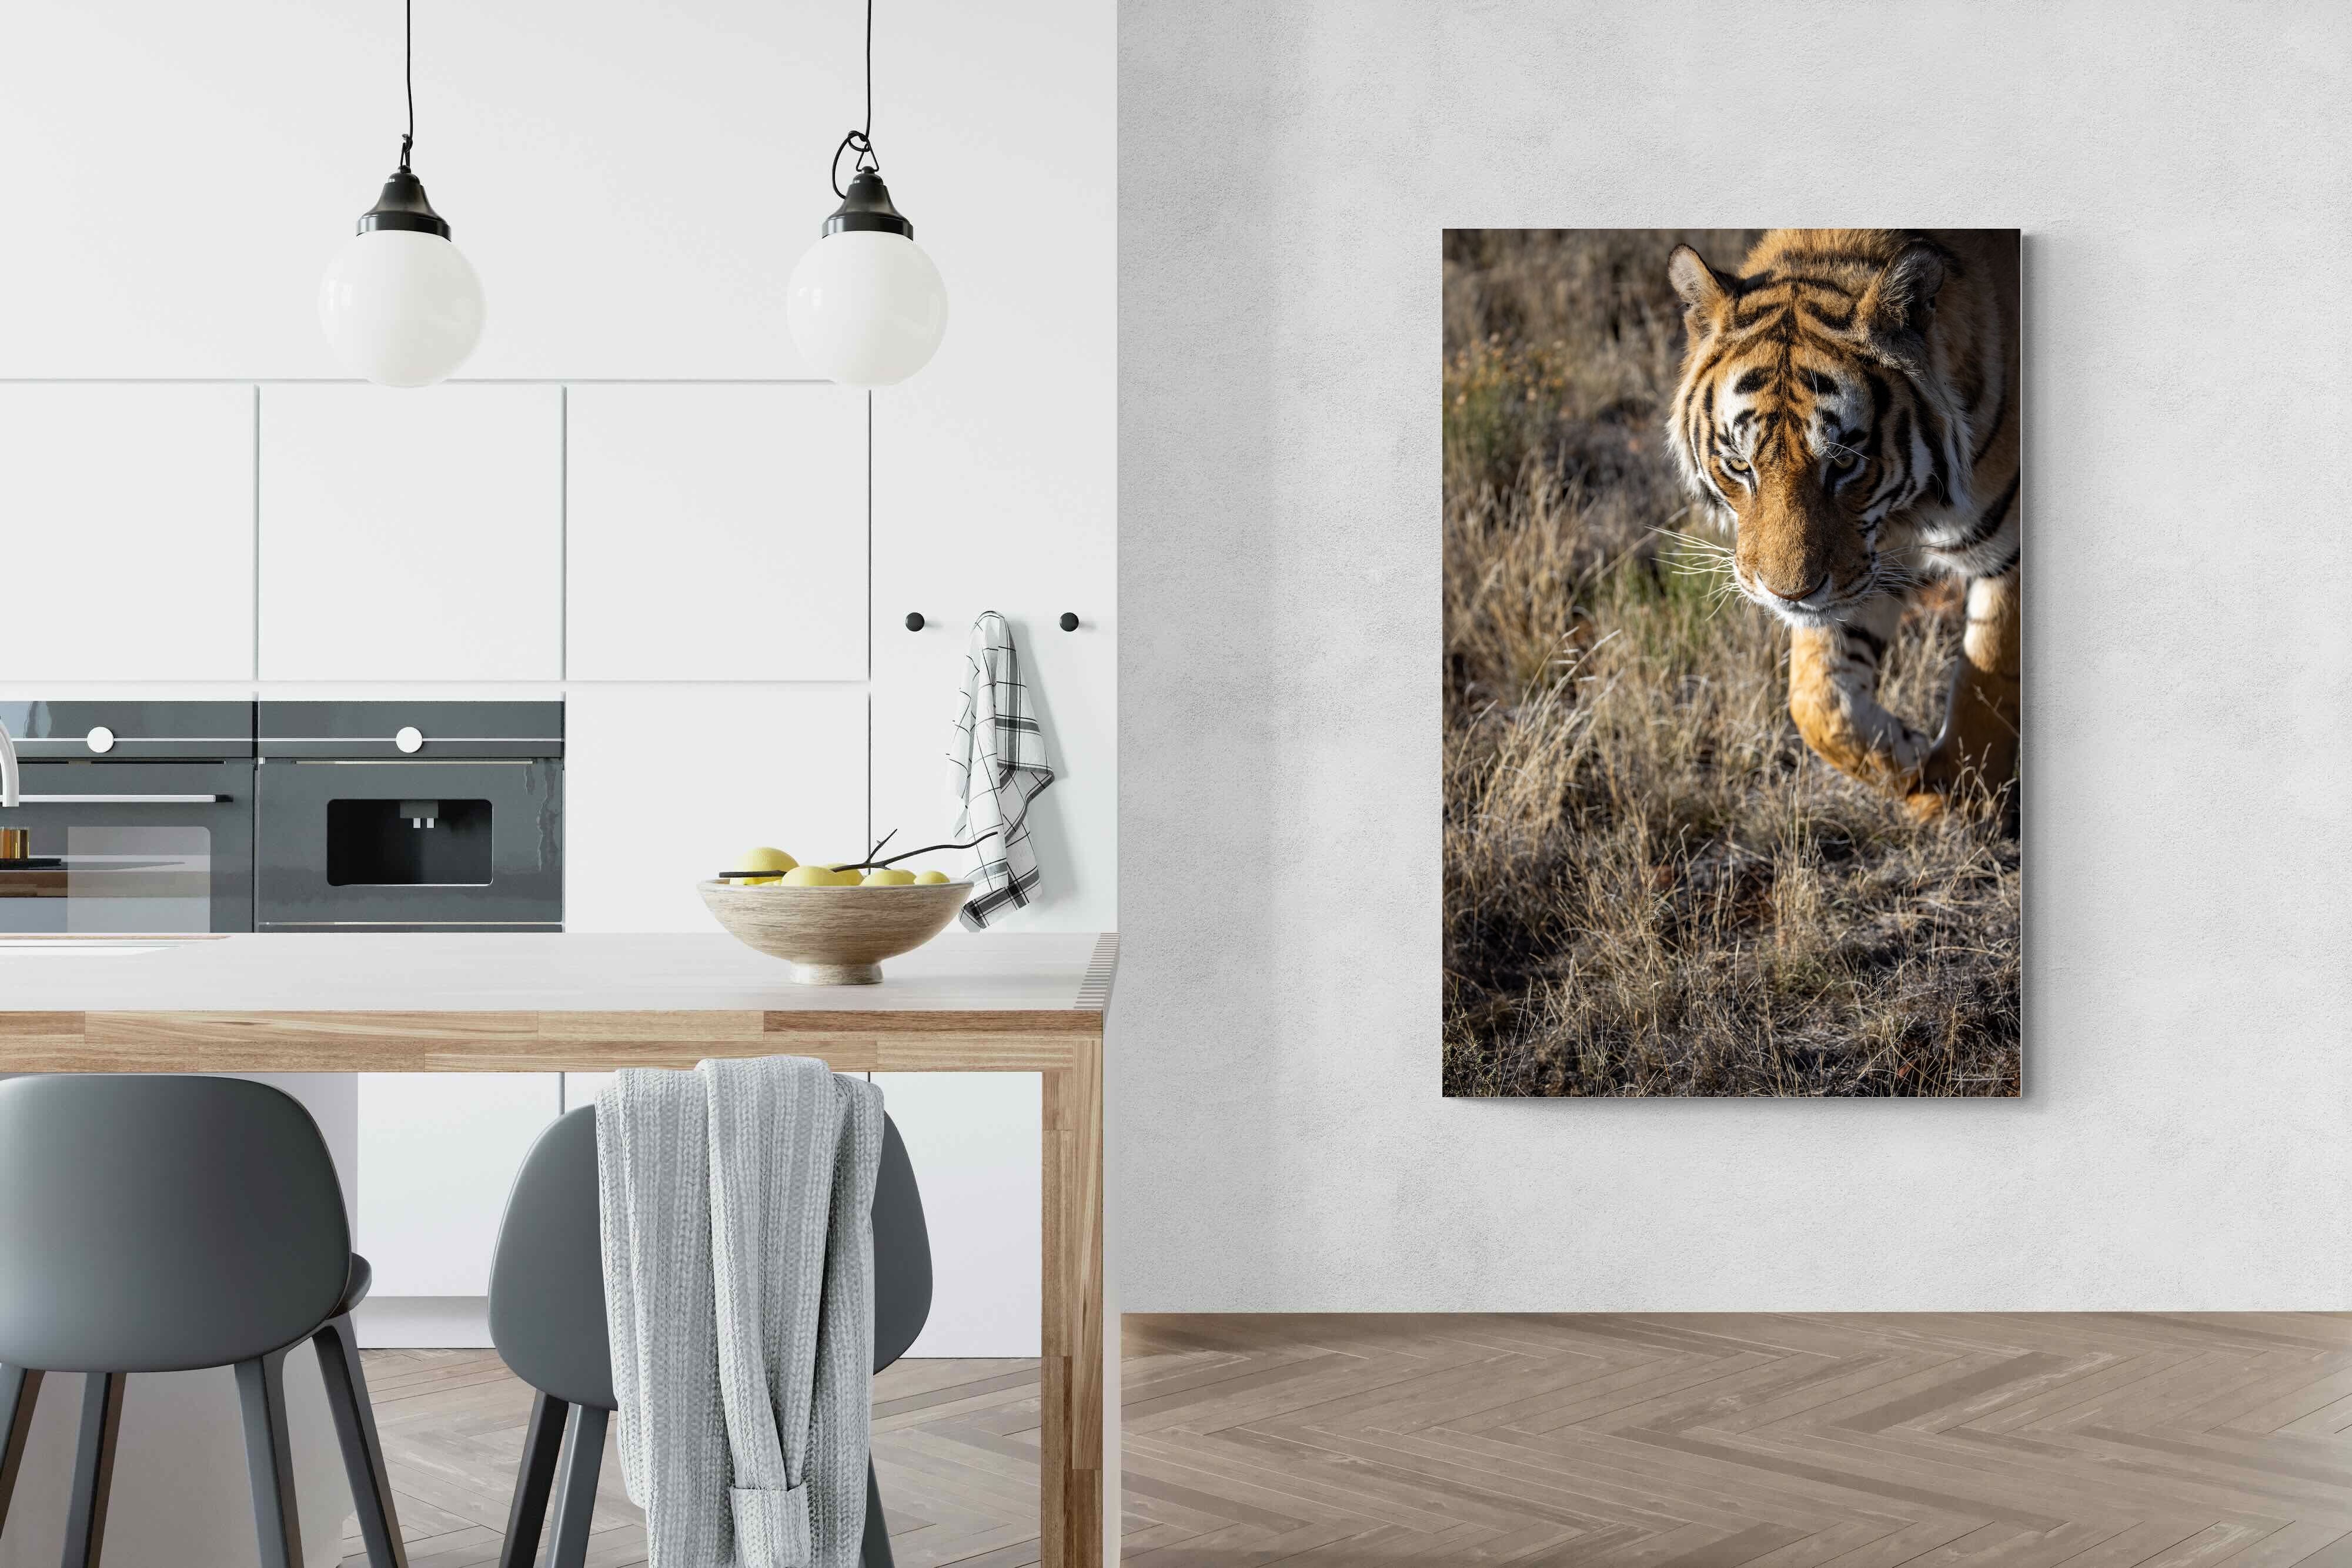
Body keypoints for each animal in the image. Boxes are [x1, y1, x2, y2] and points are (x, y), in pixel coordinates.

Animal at [1665, 229, 2020, 816]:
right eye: (1740, 465)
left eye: (1845, 462)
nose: (1788, 595)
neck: (1909, 512)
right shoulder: (1864, 568)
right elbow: (1817, 702)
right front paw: (1911, 759)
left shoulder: (2008, 556)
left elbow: (1986, 683)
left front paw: (1963, 801)